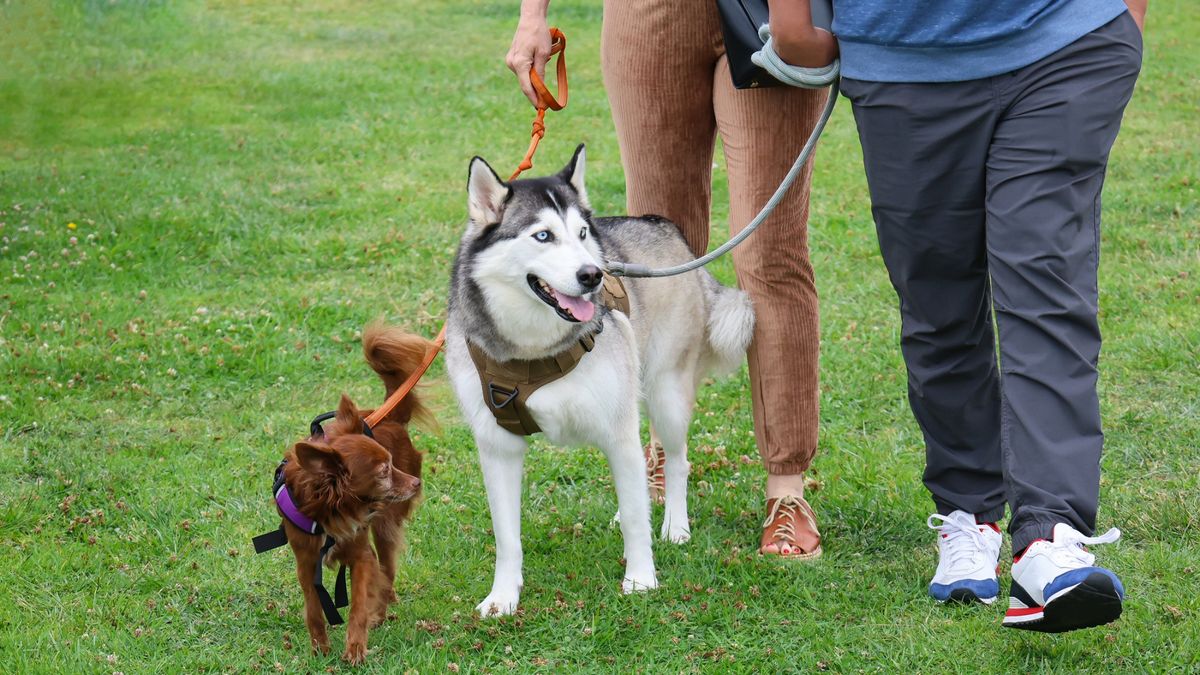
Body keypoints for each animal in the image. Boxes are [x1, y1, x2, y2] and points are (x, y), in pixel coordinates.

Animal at [266, 324, 432, 658]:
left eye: (391, 463)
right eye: (383, 471)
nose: (415, 483)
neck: (329, 512)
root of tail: (388, 416)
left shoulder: (361, 556)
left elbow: (358, 604)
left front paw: (355, 647)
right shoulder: (306, 561)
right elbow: (314, 608)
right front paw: (319, 647)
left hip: (385, 525)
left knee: (387, 570)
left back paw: (380, 612)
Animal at [446, 142, 753, 614]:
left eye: (581, 233)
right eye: (543, 236)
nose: (593, 275)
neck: (533, 351)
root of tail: (665, 227)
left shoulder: (619, 431)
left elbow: (635, 520)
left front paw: (641, 579)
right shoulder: (497, 445)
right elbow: (506, 537)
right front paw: (503, 597)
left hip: (666, 392)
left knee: (676, 460)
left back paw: (675, 526)